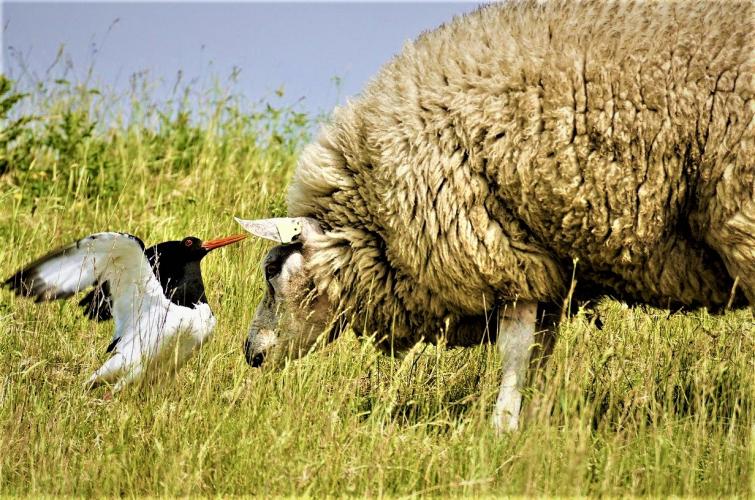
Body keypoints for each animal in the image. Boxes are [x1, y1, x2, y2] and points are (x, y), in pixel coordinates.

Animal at [235, 0, 752, 432]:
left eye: (272, 275)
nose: (250, 353)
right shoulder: (540, 260)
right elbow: (540, 350)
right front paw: (533, 421)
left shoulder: (500, 252)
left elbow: (516, 350)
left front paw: (501, 426)